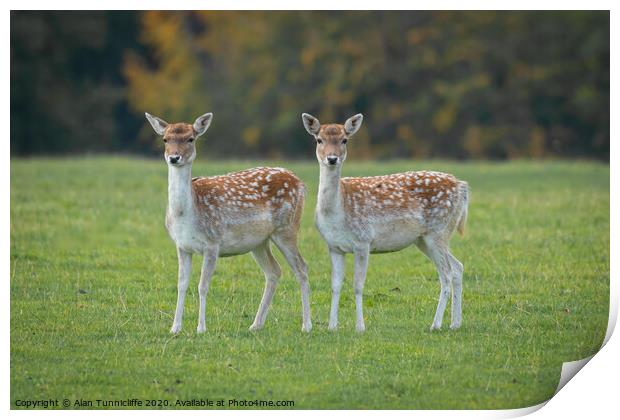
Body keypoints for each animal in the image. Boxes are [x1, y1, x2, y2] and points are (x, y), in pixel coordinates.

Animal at [144, 112, 310, 334]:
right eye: (165, 139)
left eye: (191, 139)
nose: (174, 157)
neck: (187, 214)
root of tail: (300, 182)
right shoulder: (182, 246)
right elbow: (181, 284)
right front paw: (175, 328)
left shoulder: (212, 243)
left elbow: (202, 286)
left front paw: (201, 328)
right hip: (259, 242)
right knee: (274, 271)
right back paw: (255, 324)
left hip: (287, 228)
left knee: (301, 268)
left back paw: (306, 325)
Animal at [302, 111, 470, 332]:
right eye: (319, 139)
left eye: (344, 140)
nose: (332, 158)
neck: (337, 211)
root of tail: (462, 186)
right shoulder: (334, 246)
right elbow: (335, 285)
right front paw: (332, 327)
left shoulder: (363, 240)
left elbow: (358, 285)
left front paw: (360, 327)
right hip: (425, 239)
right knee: (458, 267)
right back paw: (455, 323)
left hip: (439, 231)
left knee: (447, 274)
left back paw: (435, 324)